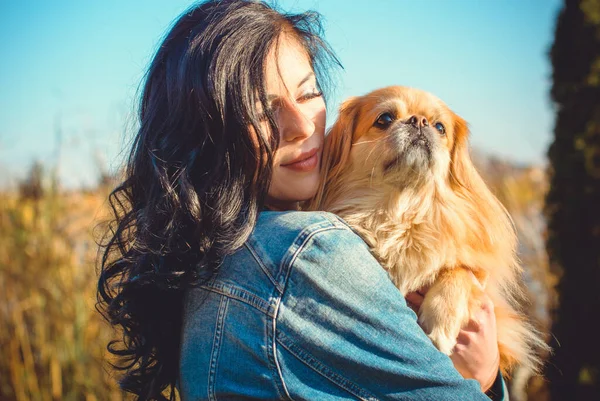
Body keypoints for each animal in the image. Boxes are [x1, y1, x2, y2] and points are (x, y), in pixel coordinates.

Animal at [312, 86, 552, 376]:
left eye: (440, 127)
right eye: (384, 119)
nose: (419, 121)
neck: (401, 208)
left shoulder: (478, 276)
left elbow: (457, 273)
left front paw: (439, 328)